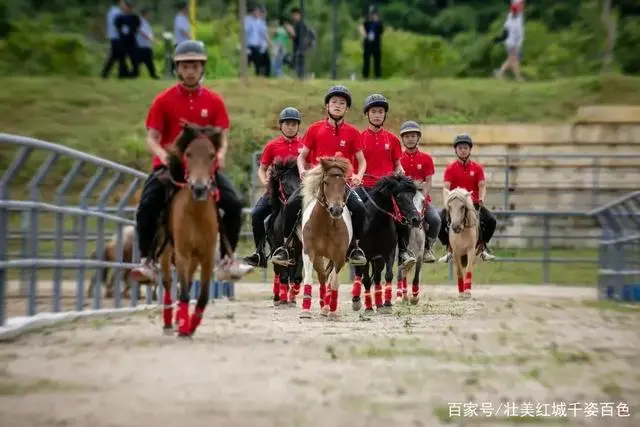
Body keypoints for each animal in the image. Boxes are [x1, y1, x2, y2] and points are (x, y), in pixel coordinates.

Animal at [155, 121, 222, 338]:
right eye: (189, 154)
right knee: (169, 283)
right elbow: (183, 292)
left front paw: (191, 324)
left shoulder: (207, 256)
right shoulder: (182, 254)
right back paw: (169, 322)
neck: (195, 215)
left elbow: (203, 294)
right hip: (167, 252)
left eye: (211, 155)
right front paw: (184, 326)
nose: (199, 188)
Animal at [266, 159, 304, 306]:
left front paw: (293, 295)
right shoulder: (278, 247)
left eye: (299, 180)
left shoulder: (299, 248)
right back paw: (278, 297)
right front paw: (282, 299)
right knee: (278, 272)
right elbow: (282, 275)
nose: (300, 196)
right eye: (284, 183)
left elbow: (297, 276)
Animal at [298, 156, 352, 318]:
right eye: (326, 182)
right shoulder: (309, 251)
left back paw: (327, 307)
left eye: (343, 183)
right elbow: (309, 278)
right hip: (318, 257)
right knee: (322, 277)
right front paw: (305, 310)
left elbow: (334, 281)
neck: (325, 224)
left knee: (330, 278)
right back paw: (323, 305)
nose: (336, 210)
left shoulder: (339, 256)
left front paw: (332, 310)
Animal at [350, 176, 420, 316]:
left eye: (411, 196)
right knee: (357, 275)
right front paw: (368, 308)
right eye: (398, 197)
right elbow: (366, 280)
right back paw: (356, 300)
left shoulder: (388, 253)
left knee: (377, 277)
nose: (416, 219)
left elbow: (388, 275)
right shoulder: (365, 256)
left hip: (378, 259)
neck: (376, 223)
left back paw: (379, 303)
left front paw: (387, 304)